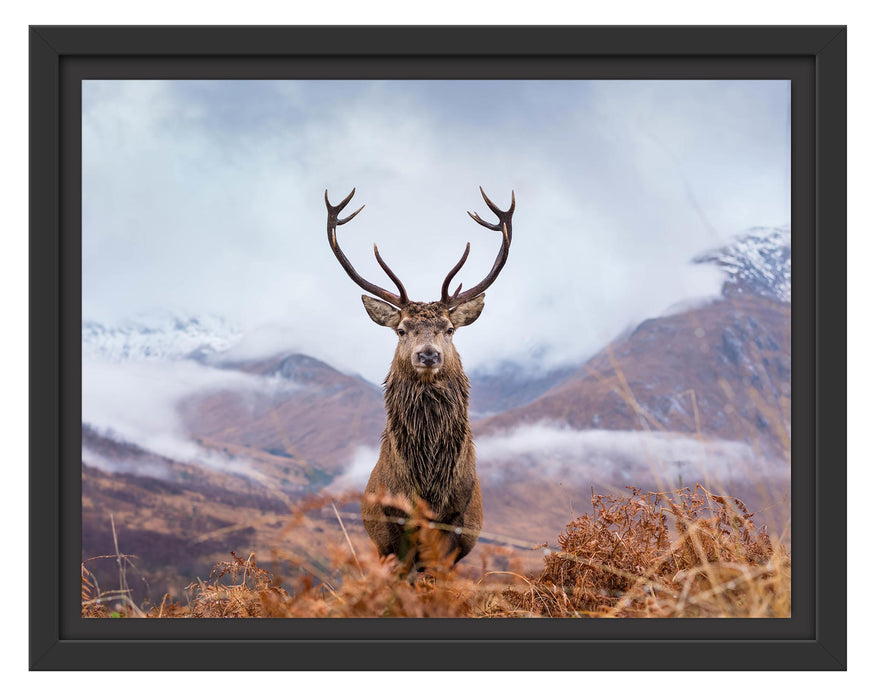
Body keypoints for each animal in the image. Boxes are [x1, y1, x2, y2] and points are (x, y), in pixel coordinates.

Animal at [324, 186, 514, 570]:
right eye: (401, 329)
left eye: (450, 328)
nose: (428, 355)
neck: (427, 486)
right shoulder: (393, 526)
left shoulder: (454, 522)